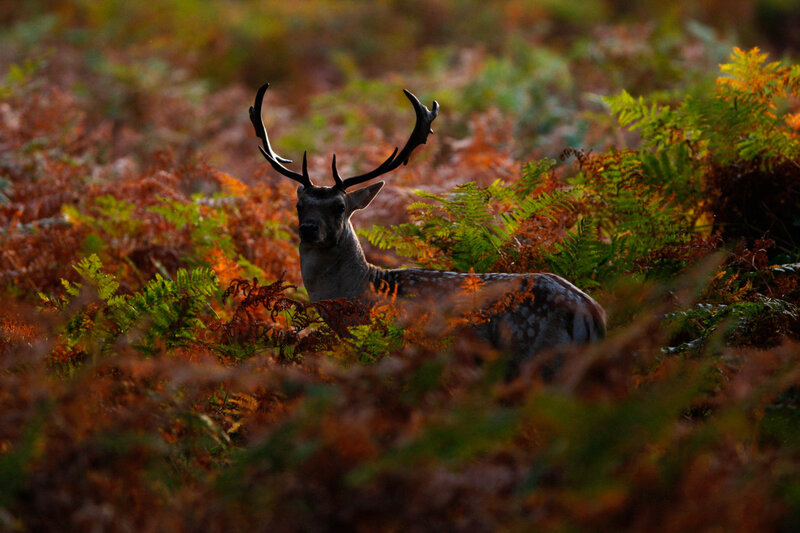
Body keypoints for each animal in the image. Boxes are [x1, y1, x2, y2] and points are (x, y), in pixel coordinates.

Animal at [249, 83, 606, 374]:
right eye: (299, 205)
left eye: (339, 206)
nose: (309, 229)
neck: (365, 296)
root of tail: (591, 313)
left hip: (535, 355)